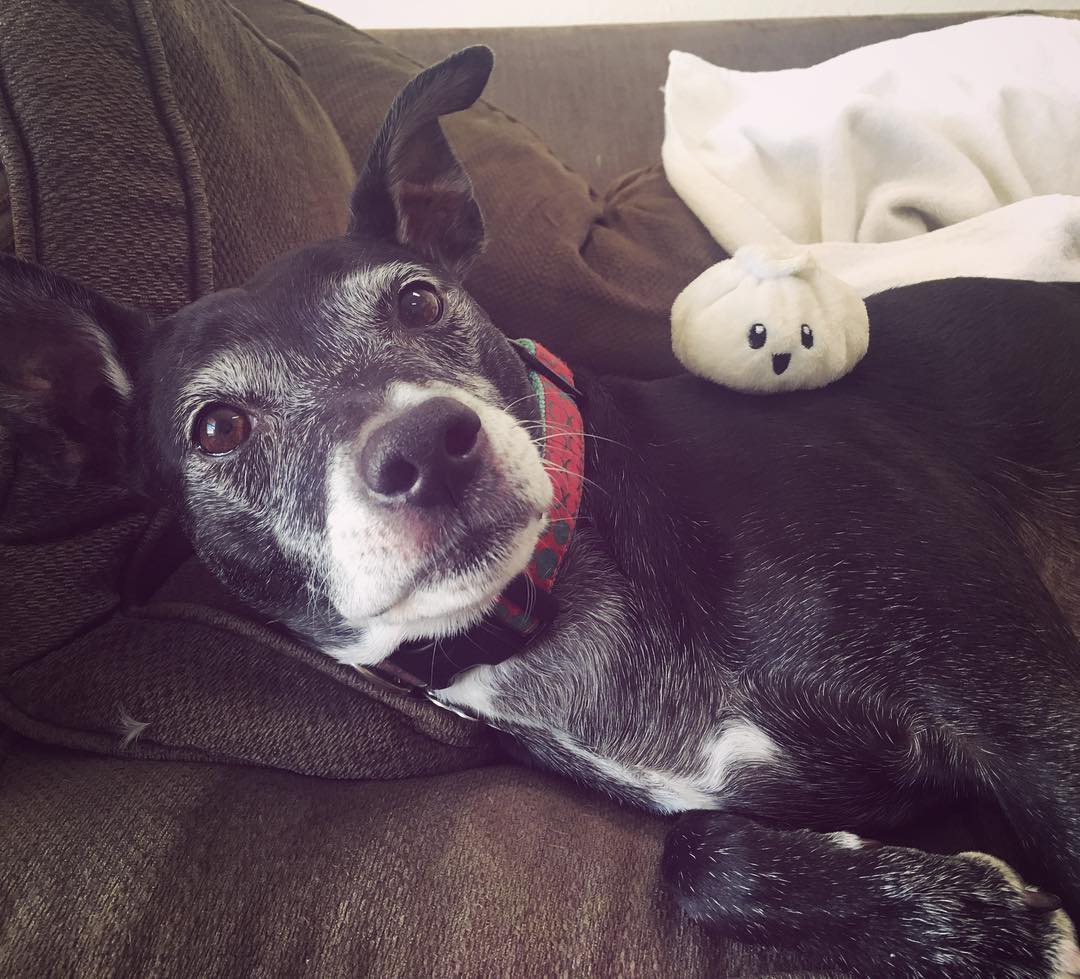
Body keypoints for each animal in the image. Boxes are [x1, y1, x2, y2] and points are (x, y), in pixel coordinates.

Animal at [2, 47, 1080, 976]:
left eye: (420, 300)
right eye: (217, 427)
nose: (428, 446)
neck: (554, 603)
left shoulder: (1025, 709)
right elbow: (694, 855)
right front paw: (984, 919)